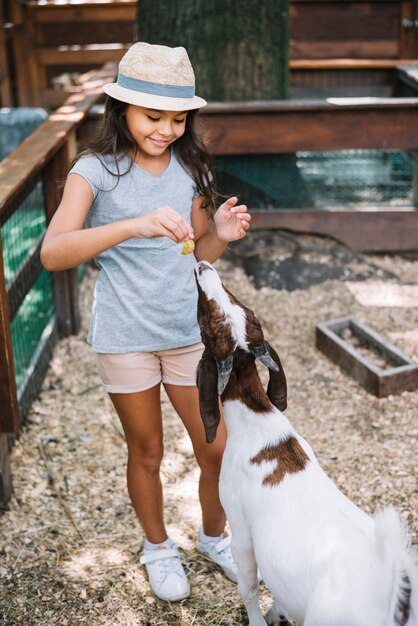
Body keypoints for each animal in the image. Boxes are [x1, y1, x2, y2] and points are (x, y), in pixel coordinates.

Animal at [195, 260, 418, 624]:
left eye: (207, 324)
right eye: (241, 305)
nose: (202, 265)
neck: (258, 420)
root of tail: (392, 595)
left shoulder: (239, 527)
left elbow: (249, 586)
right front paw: (278, 612)